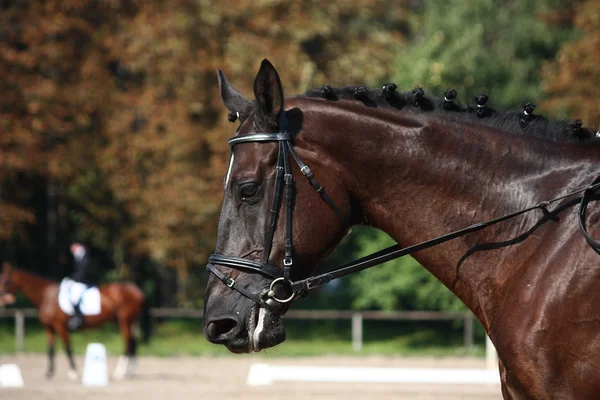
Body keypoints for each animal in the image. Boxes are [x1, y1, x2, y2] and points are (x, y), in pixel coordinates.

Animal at [0, 262, 150, 382]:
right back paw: (131, 372)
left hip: (124, 321)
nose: (2, 299)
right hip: (127, 321)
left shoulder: (61, 327)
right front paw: (49, 373)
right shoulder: (49, 328)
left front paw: (73, 373)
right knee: (133, 343)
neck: (46, 296)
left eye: (6, 281)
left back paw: (120, 372)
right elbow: (51, 350)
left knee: (128, 343)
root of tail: (136, 290)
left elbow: (67, 348)